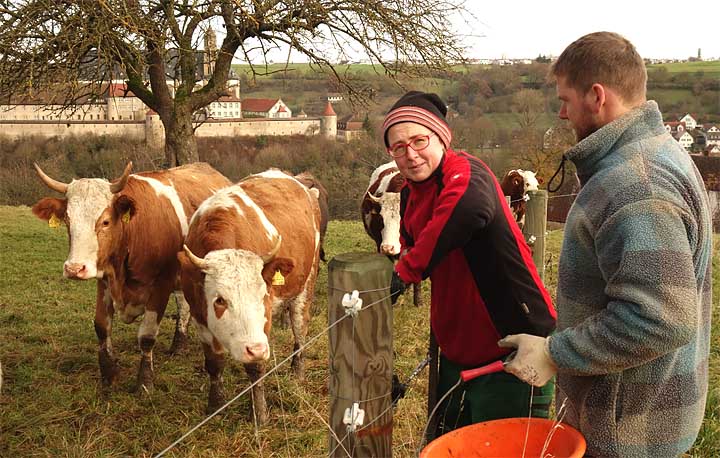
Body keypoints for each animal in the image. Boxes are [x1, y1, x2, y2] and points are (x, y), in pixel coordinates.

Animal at [31, 160, 231, 390]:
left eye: (105, 221)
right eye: (66, 220)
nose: (74, 268)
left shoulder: (161, 286)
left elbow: (147, 336)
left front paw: (144, 382)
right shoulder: (104, 280)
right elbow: (102, 326)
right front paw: (108, 375)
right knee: (183, 305)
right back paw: (178, 345)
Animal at [177, 170, 320, 424]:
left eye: (263, 296)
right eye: (220, 300)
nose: (256, 349)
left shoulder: (264, 324)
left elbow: (256, 368)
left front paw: (260, 413)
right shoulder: (200, 317)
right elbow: (214, 364)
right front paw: (215, 405)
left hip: (304, 289)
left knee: (300, 330)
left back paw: (297, 371)